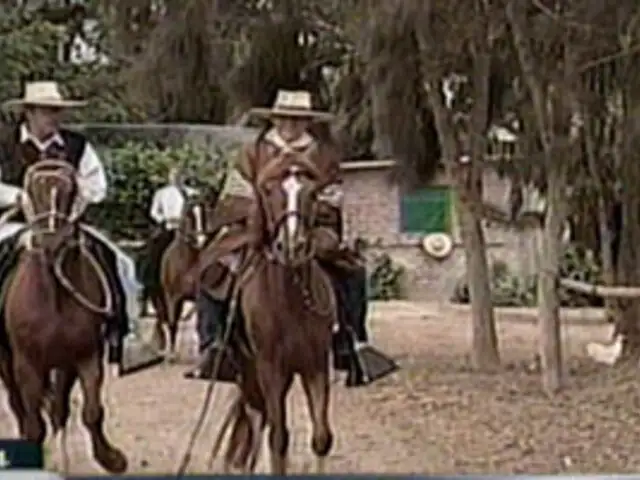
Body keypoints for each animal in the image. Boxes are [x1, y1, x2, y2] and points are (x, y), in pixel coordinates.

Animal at [0, 160, 127, 472]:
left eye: (70, 190)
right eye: (33, 188)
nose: (52, 242)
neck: (54, 296)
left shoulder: (85, 357)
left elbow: (91, 412)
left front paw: (110, 458)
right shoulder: (27, 365)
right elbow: (34, 426)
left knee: (59, 410)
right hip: (7, 361)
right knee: (18, 405)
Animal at [152, 195, 218, 360]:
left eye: (205, 214)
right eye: (189, 214)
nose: (200, 240)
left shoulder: (198, 297)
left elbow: (200, 325)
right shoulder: (172, 297)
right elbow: (172, 323)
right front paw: (171, 355)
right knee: (161, 316)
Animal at [210, 160, 340, 472]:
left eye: (312, 193)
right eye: (268, 191)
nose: (292, 246)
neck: (291, 304)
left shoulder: (316, 366)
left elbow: (322, 437)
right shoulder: (270, 369)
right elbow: (278, 439)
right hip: (251, 371)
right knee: (257, 419)